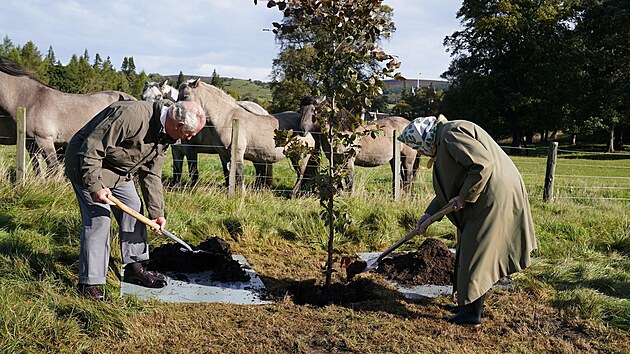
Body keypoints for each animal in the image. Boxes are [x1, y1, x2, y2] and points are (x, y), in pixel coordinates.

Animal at [178, 78, 316, 195]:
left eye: (185, 96)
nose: (178, 118)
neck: (227, 118)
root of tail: (306, 129)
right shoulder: (224, 155)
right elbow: (229, 175)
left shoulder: (238, 153)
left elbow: (239, 174)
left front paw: (242, 194)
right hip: (294, 157)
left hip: (302, 157)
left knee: (301, 174)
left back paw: (292, 194)